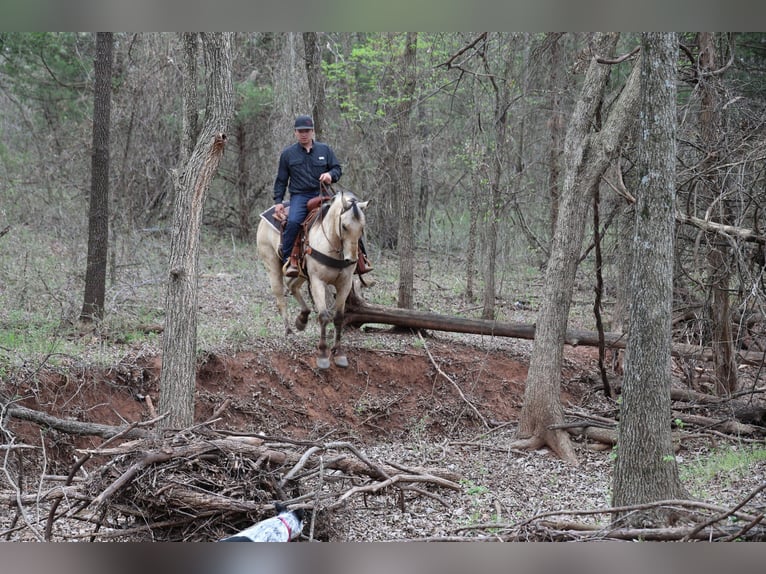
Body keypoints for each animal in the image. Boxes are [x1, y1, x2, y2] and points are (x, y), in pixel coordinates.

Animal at [256, 190, 369, 369]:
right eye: (344, 226)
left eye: (362, 227)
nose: (351, 259)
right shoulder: (317, 282)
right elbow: (323, 316)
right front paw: (322, 354)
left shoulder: (344, 284)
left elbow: (339, 317)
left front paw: (339, 353)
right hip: (271, 264)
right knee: (280, 297)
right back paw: (289, 331)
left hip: (301, 273)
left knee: (292, 286)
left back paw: (302, 319)